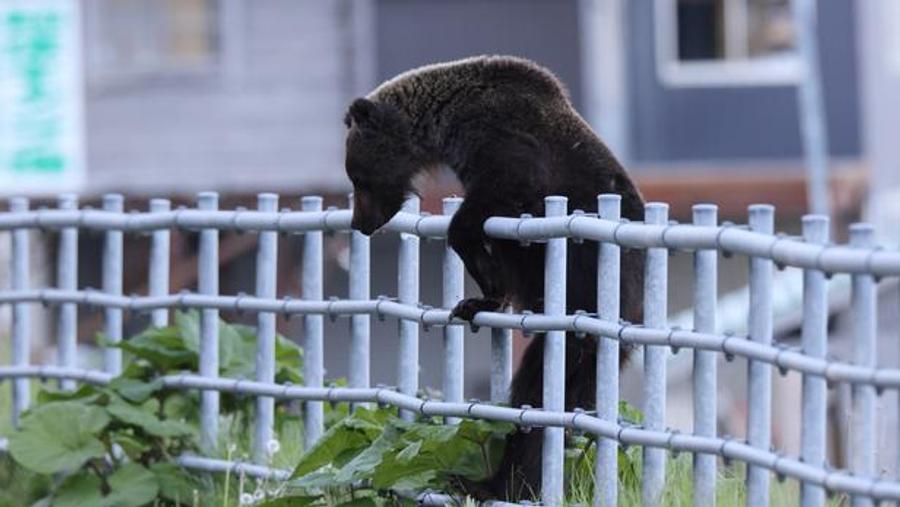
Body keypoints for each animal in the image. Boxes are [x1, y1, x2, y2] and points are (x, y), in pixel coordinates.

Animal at [343, 55, 645, 501]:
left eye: (356, 176)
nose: (360, 222)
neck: (445, 121)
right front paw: (477, 299)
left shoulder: (505, 142)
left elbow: (493, 199)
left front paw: (479, 270)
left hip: (591, 291)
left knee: (539, 385)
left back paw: (498, 482)